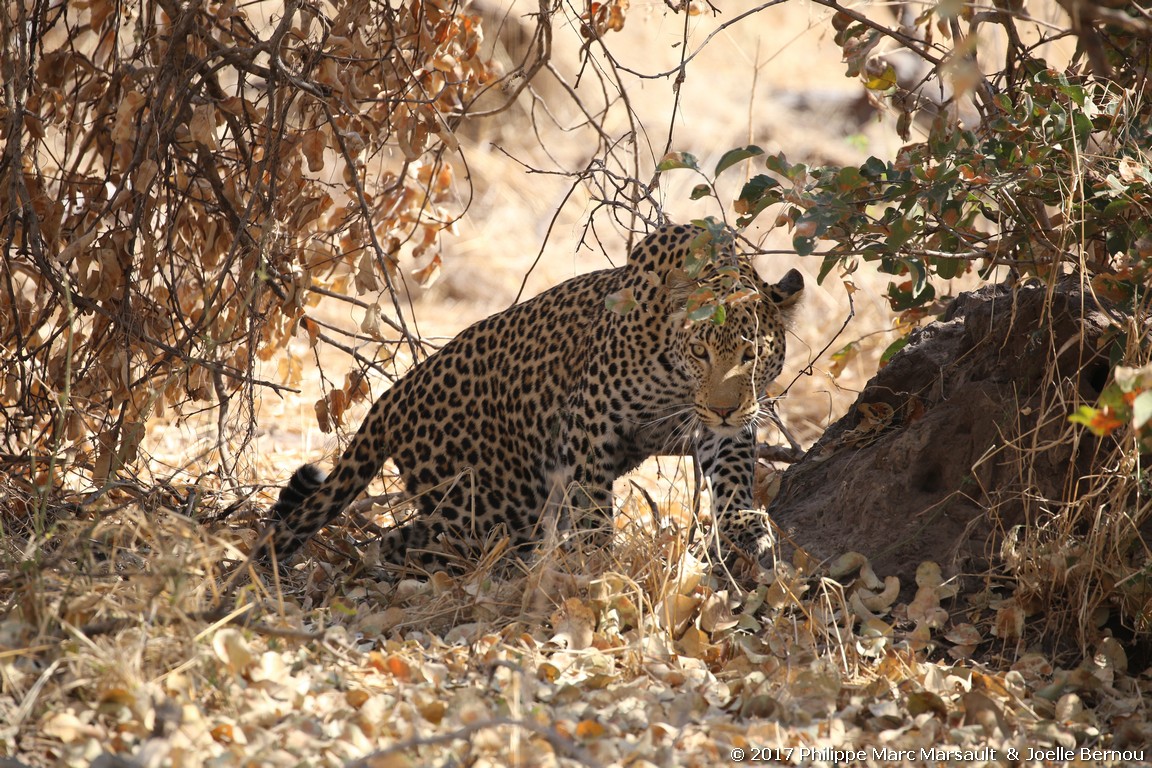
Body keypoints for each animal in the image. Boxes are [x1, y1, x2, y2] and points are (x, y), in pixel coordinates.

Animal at [261, 222, 801, 571]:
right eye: (700, 351)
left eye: (752, 354)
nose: (725, 408)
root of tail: (395, 395)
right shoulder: (591, 419)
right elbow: (591, 505)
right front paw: (596, 568)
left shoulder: (727, 418)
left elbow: (732, 468)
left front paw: (746, 528)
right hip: (501, 501)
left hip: (482, 508)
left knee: (403, 540)